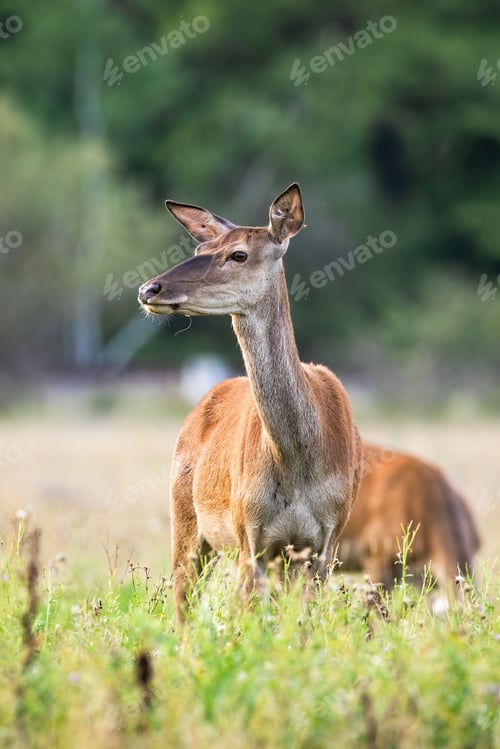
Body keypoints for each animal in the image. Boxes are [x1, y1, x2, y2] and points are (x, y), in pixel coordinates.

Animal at [138, 183, 362, 620]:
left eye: (238, 254)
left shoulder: (327, 539)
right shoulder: (249, 535)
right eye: (199, 249)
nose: (148, 289)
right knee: (183, 605)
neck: (298, 459)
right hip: (186, 519)